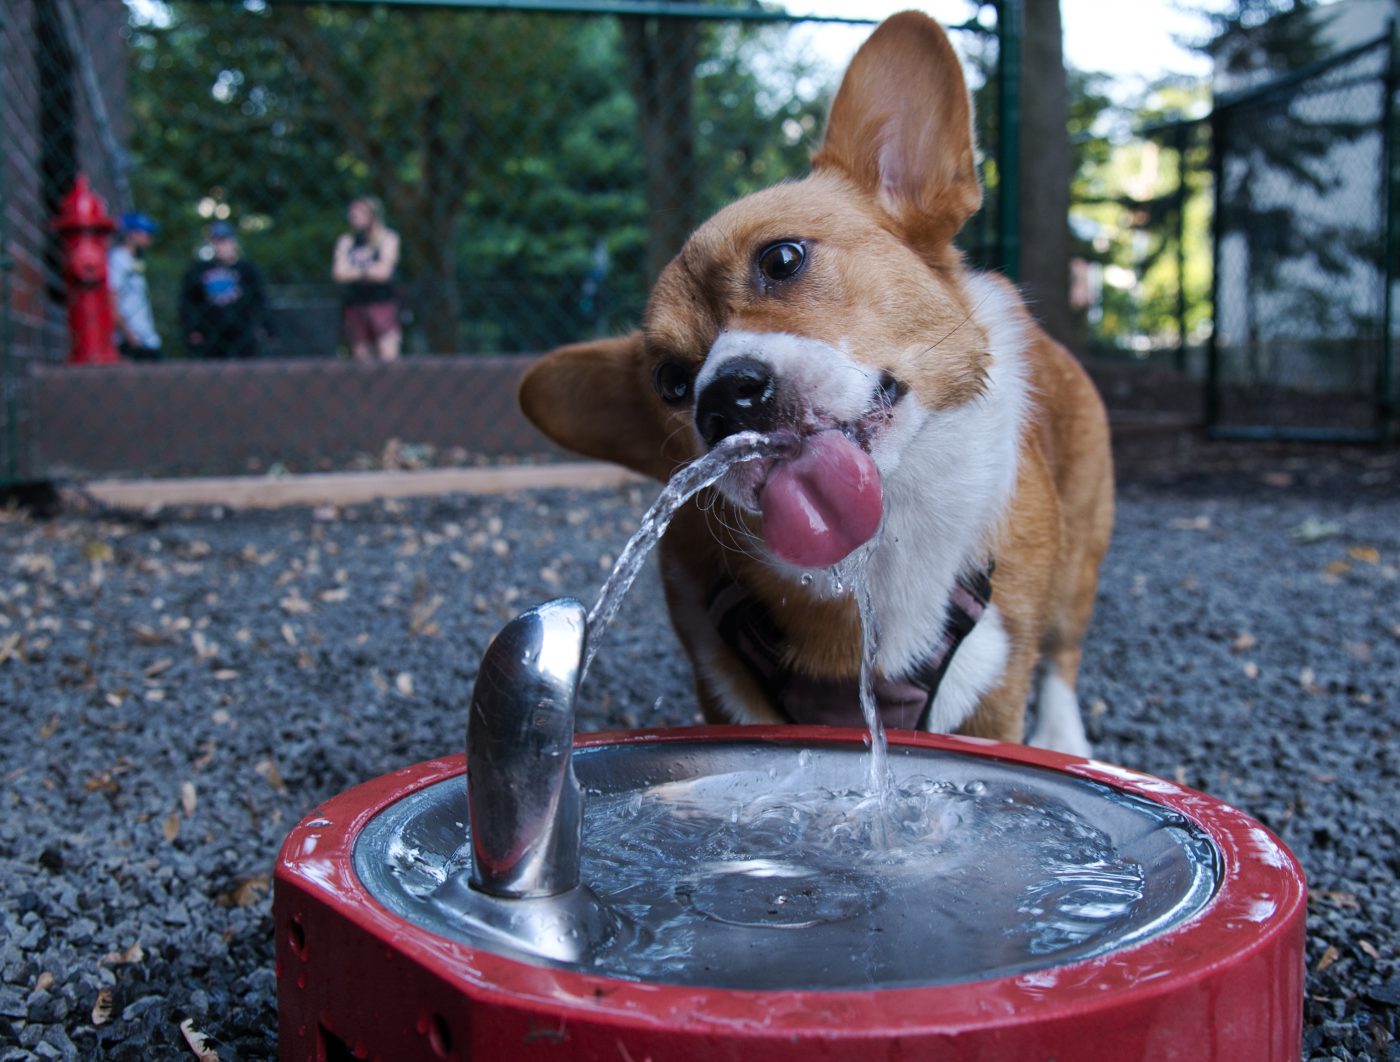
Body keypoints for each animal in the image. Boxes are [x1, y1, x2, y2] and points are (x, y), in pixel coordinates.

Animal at [520, 8, 1108, 755]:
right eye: (671, 382)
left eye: (782, 258)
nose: (724, 399)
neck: (877, 549)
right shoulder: (726, 693)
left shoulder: (995, 697)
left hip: (1080, 561)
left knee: (1066, 652)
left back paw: (1064, 734)